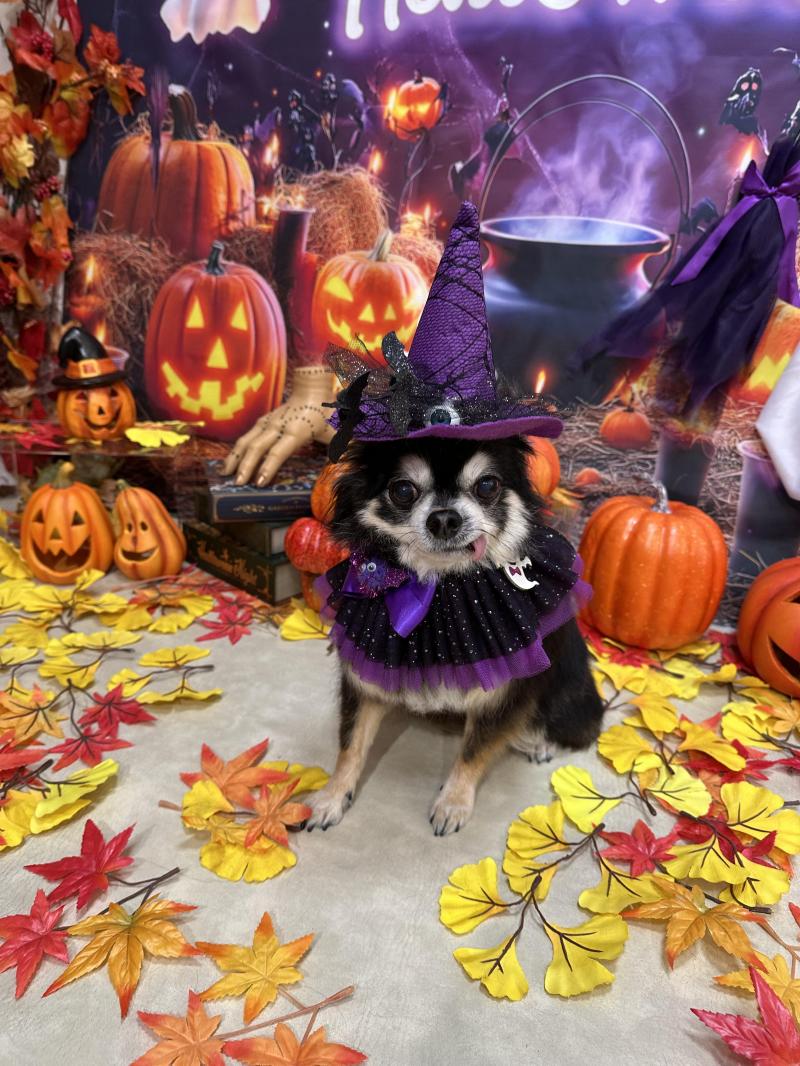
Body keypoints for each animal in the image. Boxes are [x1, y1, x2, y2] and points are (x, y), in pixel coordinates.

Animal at [305, 434, 605, 836]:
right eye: (403, 490)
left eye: (487, 486)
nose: (445, 517)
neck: (441, 586)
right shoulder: (364, 679)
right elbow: (350, 745)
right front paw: (333, 796)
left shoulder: (502, 694)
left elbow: (474, 750)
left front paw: (453, 802)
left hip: (570, 698)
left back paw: (536, 742)